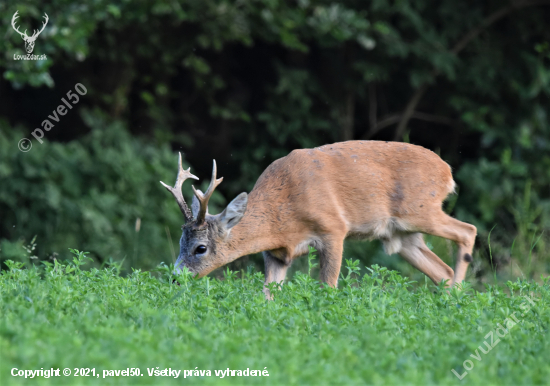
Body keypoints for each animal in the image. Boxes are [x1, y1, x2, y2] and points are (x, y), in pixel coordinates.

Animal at [162, 140, 476, 298]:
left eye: (201, 248)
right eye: (180, 241)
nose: (175, 278)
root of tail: (447, 171)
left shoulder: (334, 229)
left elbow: (328, 287)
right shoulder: (275, 253)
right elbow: (268, 294)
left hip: (420, 210)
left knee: (468, 230)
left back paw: (458, 298)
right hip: (400, 235)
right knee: (442, 271)